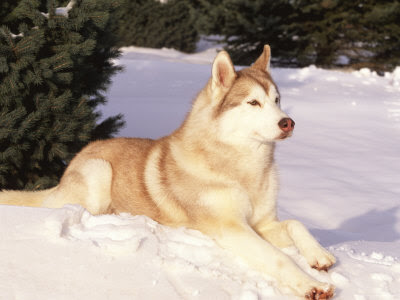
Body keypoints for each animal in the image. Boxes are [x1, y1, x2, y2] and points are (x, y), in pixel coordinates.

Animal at [0, 45, 336, 298]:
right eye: (253, 103)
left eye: (277, 101)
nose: (288, 122)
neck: (243, 169)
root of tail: (74, 162)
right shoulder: (231, 228)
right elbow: (278, 258)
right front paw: (311, 285)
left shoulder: (262, 224)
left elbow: (295, 224)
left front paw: (319, 255)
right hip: (98, 173)